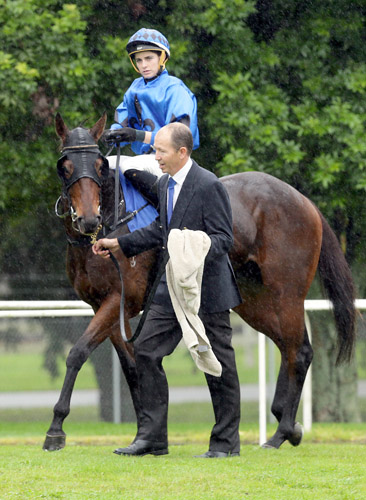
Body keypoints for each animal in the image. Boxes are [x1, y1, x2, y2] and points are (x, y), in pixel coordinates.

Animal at [42, 114, 354, 454]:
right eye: (66, 166)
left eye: (99, 165)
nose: (88, 220)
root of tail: (303, 200)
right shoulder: (105, 307)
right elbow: (133, 367)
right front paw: (144, 433)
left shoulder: (120, 300)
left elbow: (78, 353)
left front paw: (56, 428)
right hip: (253, 301)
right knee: (290, 346)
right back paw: (288, 424)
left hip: (286, 295)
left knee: (298, 352)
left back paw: (280, 432)